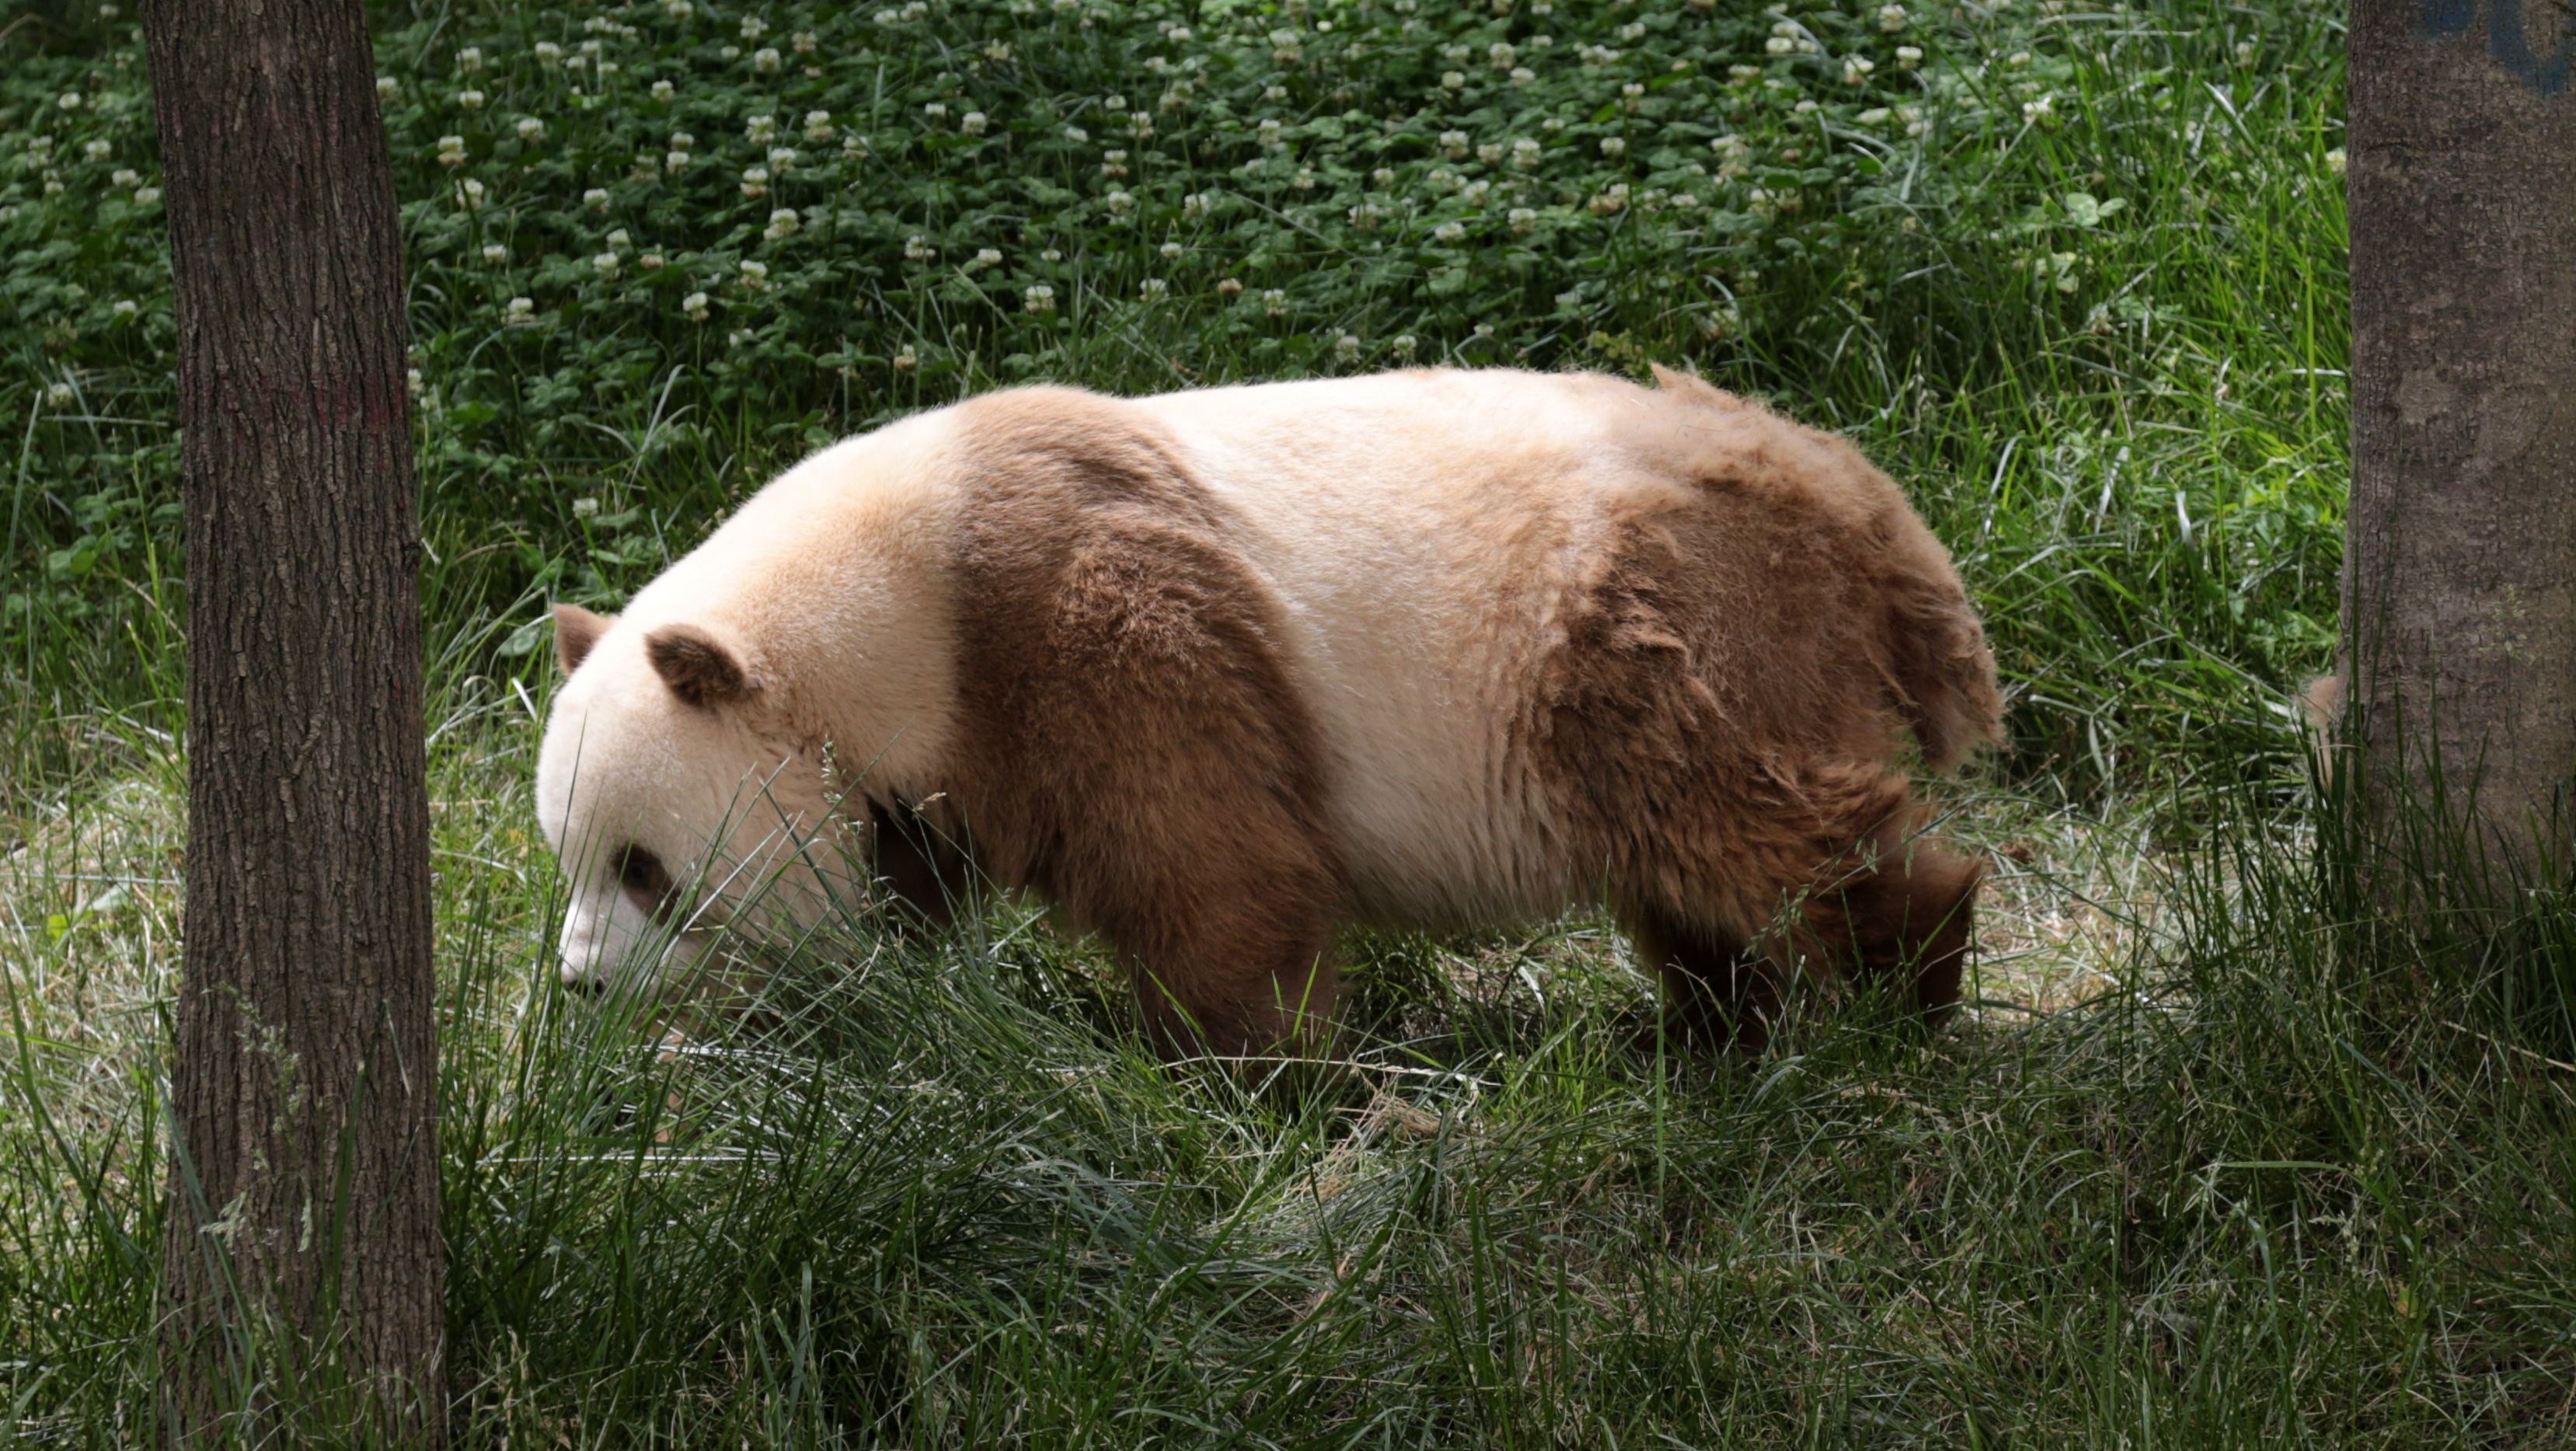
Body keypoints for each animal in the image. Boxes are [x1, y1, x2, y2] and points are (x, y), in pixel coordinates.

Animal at [536, 365, 2002, 1055]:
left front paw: (1231, 1069)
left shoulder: (1082, 621)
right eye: (571, 858)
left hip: (1652, 610)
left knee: (1748, 811)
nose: (582, 984)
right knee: (1686, 860)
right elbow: (899, 902)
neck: (897, 587)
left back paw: (1898, 993)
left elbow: (1211, 864)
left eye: (645, 865)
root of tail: (1855, 493)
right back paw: (1713, 1029)